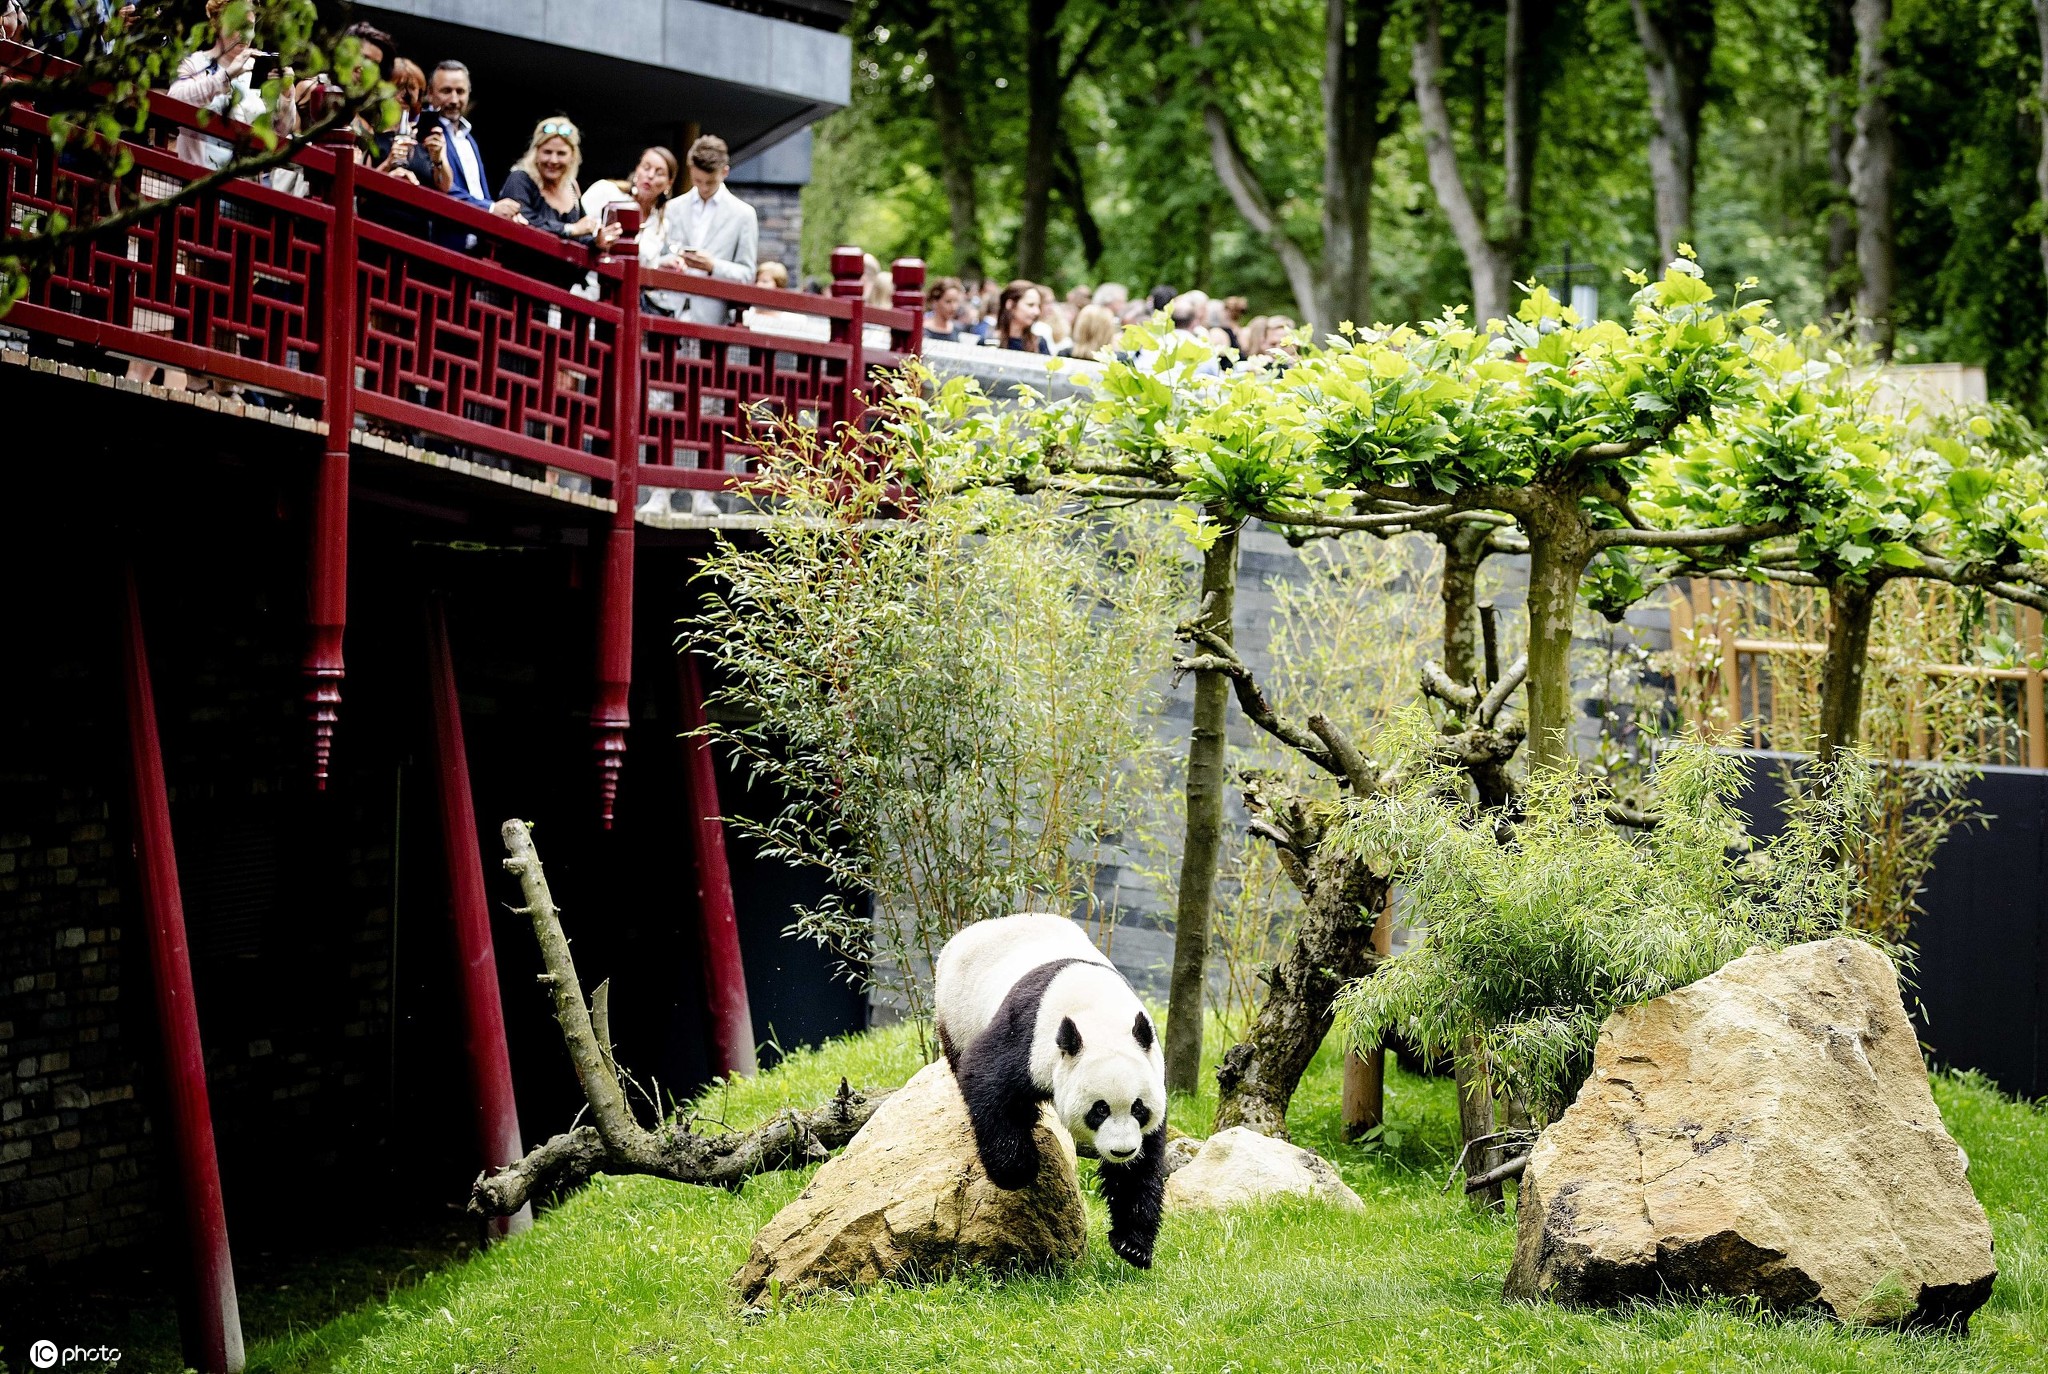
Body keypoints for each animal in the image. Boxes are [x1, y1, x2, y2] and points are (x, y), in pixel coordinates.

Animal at [933, 913, 1163, 1269]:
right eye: (1100, 1109)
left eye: (1138, 1108)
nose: (1122, 1151)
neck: (1101, 1014)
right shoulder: (1028, 1036)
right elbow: (987, 1080)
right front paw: (1018, 1169)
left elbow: (1145, 1162)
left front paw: (1133, 1246)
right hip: (955, 1011)